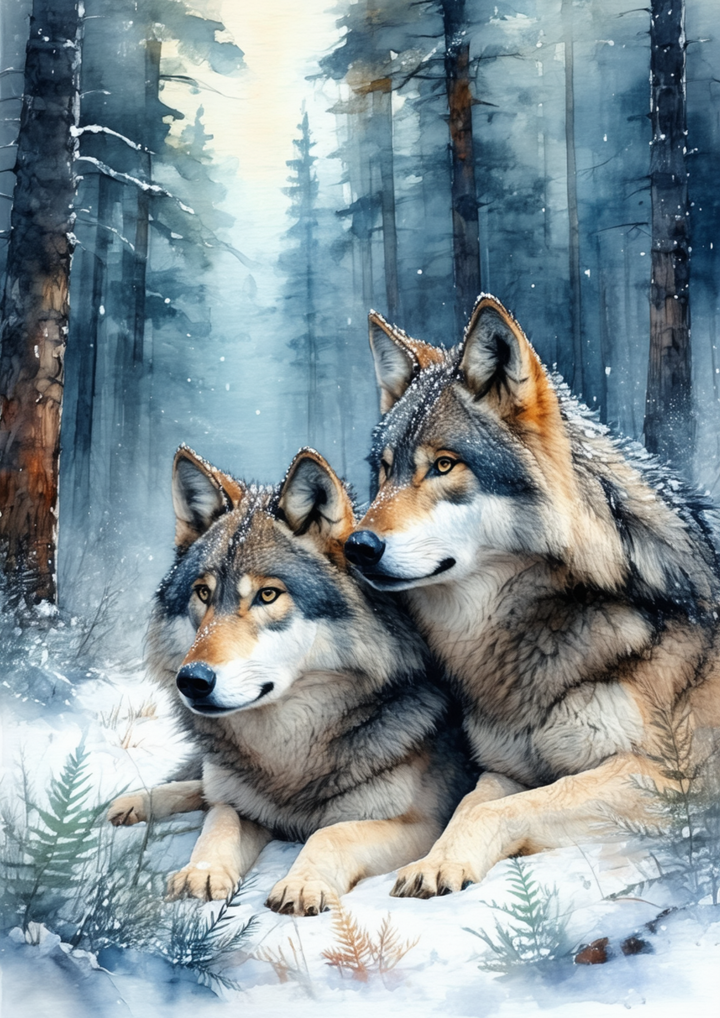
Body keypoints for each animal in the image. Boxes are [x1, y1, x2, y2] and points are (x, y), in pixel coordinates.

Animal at [107, 445, 473, 915]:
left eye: (268, 595)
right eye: (203, 593)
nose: (191, 681)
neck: (289, 756)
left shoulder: (424, 822)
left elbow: (330, 833)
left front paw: (301, 885)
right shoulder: (240, 805)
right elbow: (218, 822)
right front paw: (200, 874)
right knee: (200, 788)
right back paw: (130, 803)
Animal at [344, 293, 720, 899]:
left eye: (444, 465)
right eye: (383, 472)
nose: (355, 546)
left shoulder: (673, 775)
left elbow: (499, 810)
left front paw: (439, 866)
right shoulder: (505, 769)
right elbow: (470, 806)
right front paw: (438, 856)